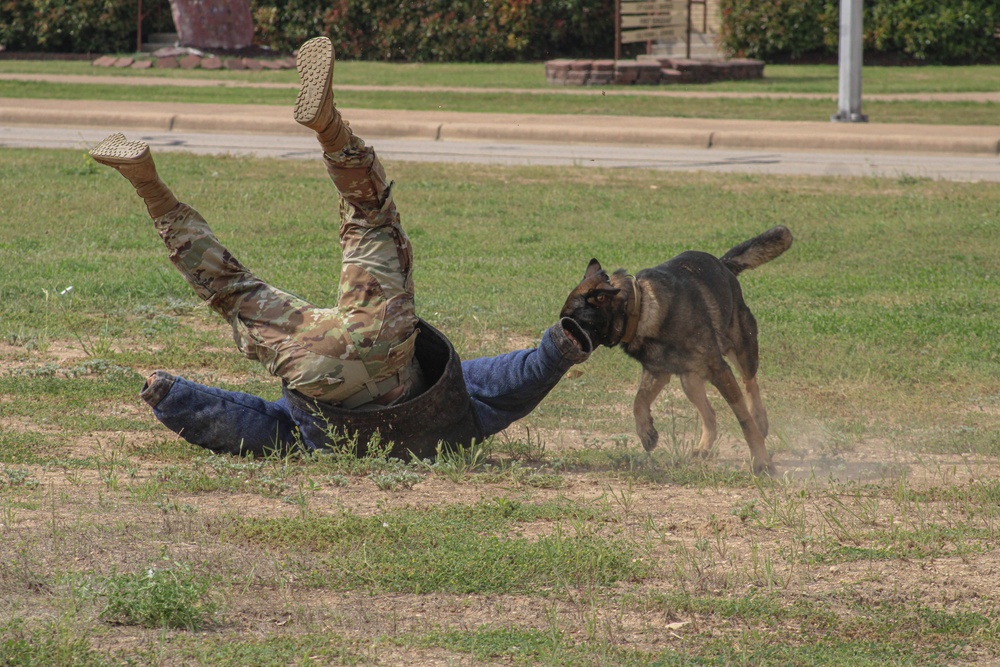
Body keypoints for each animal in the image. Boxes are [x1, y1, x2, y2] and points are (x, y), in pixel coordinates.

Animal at [560, 228, 792, 474]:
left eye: (572, 321)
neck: (641, 308)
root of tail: (723, 264)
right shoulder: (657, 372)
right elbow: (638, 401)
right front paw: (646, 433)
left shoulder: (719, 370)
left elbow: (744, 420)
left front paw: (762, 461)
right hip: (689, 380)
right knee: (709, 414)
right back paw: (703, 447)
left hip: (741, 349)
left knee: (750, 383)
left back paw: (760, 419)